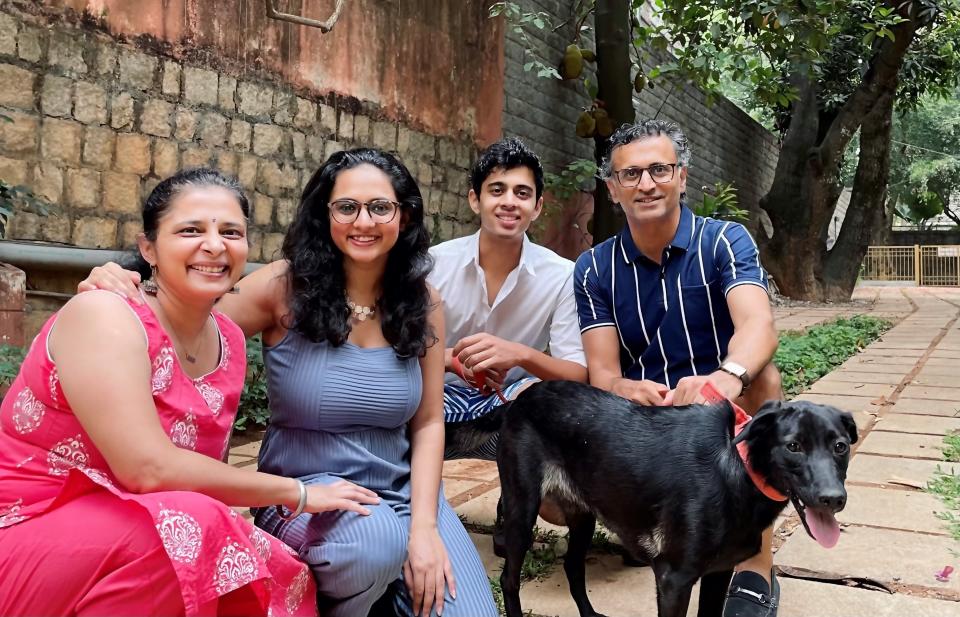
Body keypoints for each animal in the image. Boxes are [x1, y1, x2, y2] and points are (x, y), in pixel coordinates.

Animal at [496, 380, 856, 616]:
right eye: (794, 446)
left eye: (840, 446)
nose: (833, 499)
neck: (738, 469)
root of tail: (521, 398)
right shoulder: (674, 581)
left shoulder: (719, 572)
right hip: (521, 510)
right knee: (508, 579)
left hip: (583, 516)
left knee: (573, 567)